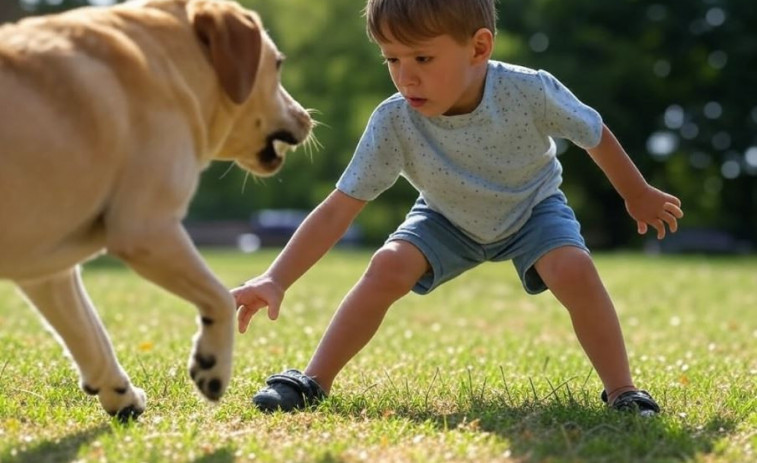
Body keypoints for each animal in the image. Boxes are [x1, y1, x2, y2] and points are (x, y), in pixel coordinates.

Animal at [0, 0, 312, 420]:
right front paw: (212, 366)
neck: (172, 61)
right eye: (278, 63)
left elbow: (91, 336)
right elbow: (219, 295)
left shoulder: (50, 272)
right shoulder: (148, 229)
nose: (307, 117)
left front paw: (121, 396)